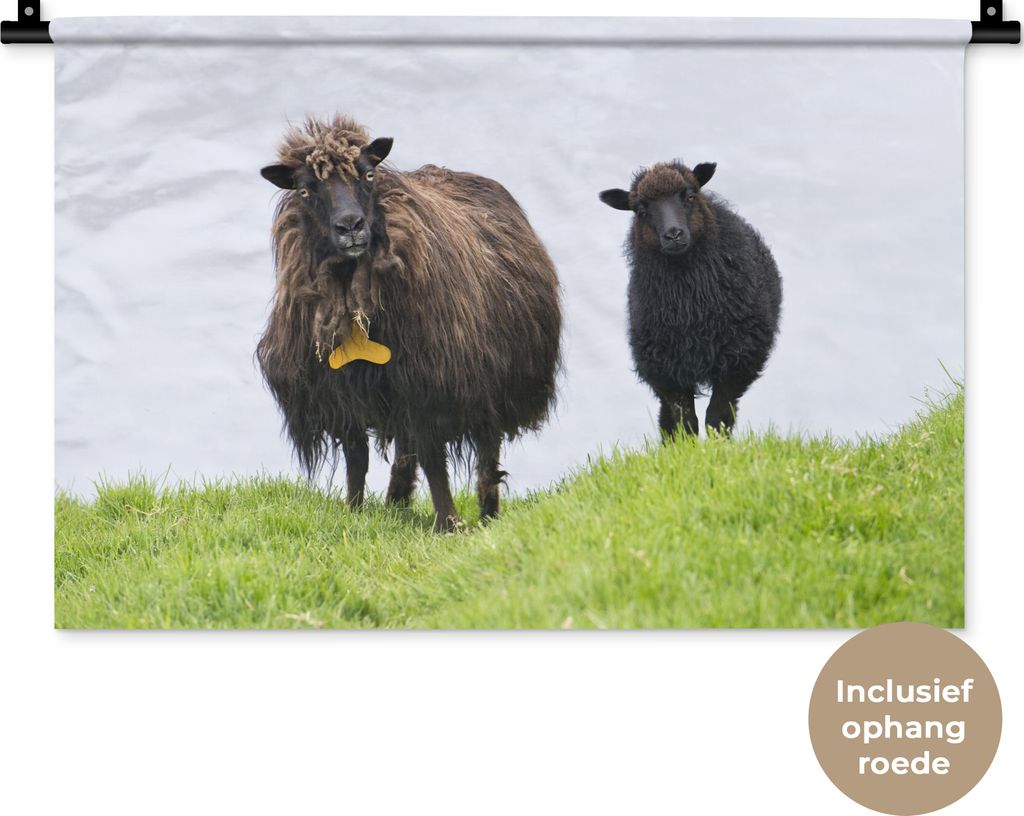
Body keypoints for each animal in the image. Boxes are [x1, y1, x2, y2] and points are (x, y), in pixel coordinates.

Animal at [257, 115, 561, 532]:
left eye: (368, 175)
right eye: (305, 190)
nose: (351, 226)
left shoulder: (432, 387)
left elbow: (435, 461)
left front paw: (448, 524)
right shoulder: (343, 394)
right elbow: (357, 460)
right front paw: (354, 512)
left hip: (491, 381)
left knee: (487, 452)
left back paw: (486, 514)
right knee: (405, 451)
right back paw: (396, 503)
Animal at [599, 160, 781, 438]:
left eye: (690, 195)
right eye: (641, 209)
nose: (673, 234)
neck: (691, 307)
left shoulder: (737, 362)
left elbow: (717, 417)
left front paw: (717, 446)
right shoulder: (666, 370)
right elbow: (685, 422)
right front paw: (687, 447)